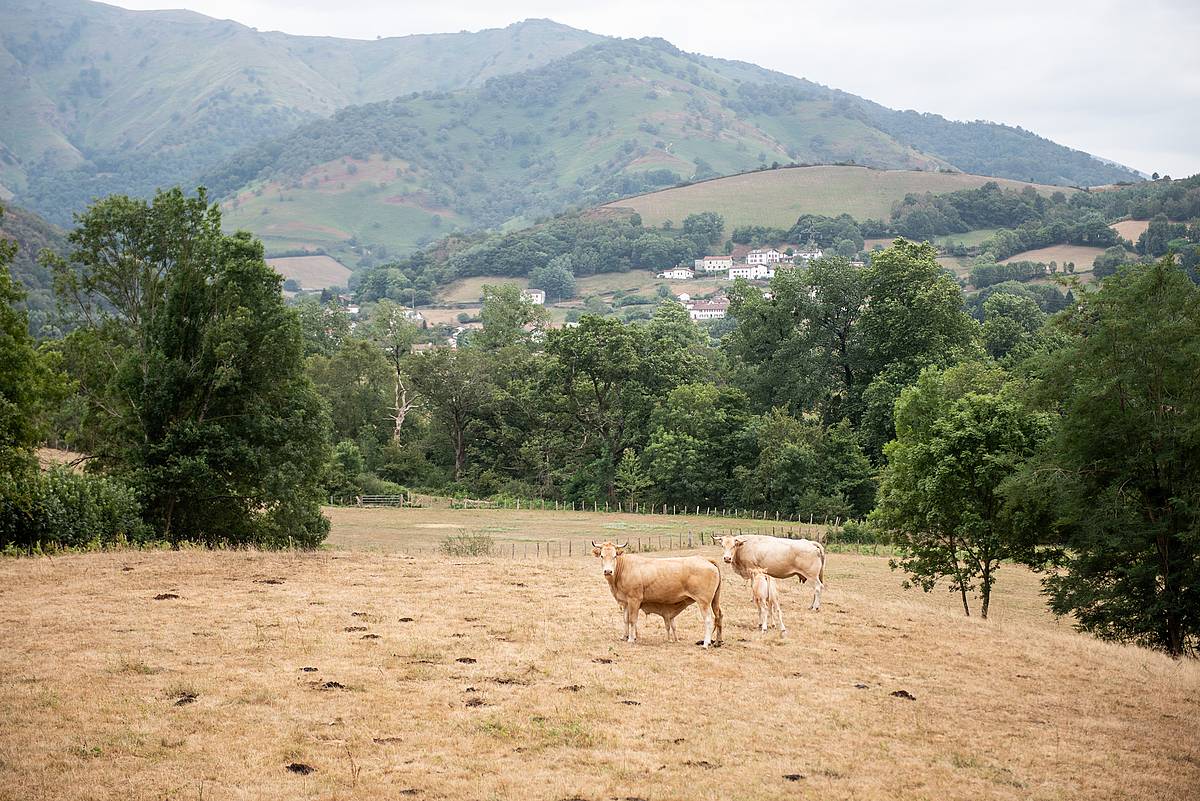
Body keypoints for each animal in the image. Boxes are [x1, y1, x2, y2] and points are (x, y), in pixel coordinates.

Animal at [590, 541, 720, 647]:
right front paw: (624, 636)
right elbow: (625, 619)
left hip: (703, 602)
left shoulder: (634, 599)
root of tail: (704, 559)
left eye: (614, 556)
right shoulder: (626, 602)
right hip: (714, 601)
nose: (608, 571)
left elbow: (632, 619)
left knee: (708, 620)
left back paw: (706, 643)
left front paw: (631, 639)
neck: (624, 569)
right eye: (602, 556)